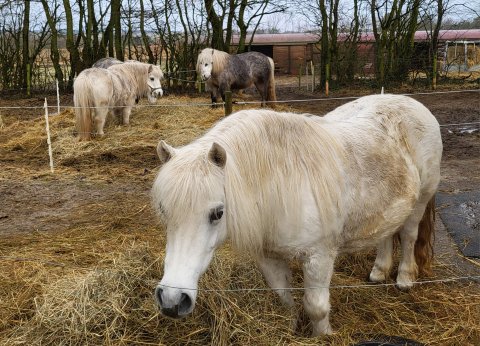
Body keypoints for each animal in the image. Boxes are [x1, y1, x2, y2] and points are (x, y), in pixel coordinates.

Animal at [153, 94, 442, 336]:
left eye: (217, 213)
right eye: (164, 211)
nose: (171, 299)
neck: (279, 186)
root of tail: (408, 101)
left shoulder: (319, 257)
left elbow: (316, 307)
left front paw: (323, 335)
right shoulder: (269, 256)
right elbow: (284, 300)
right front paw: (289, 328)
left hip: (420, 201)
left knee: (408, 235)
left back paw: (404, 279)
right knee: (386, 234)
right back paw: (379, 272)